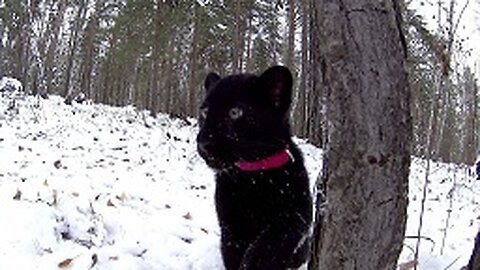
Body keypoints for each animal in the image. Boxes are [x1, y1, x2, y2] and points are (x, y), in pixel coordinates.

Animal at [197, 66, 314, 270]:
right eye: (204, 111)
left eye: (235, 112)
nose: (202, 143)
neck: (253, 176)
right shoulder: (231, 226)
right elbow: (234, 255)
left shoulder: (297, 215)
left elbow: (267, 243)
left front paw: (253, 261)